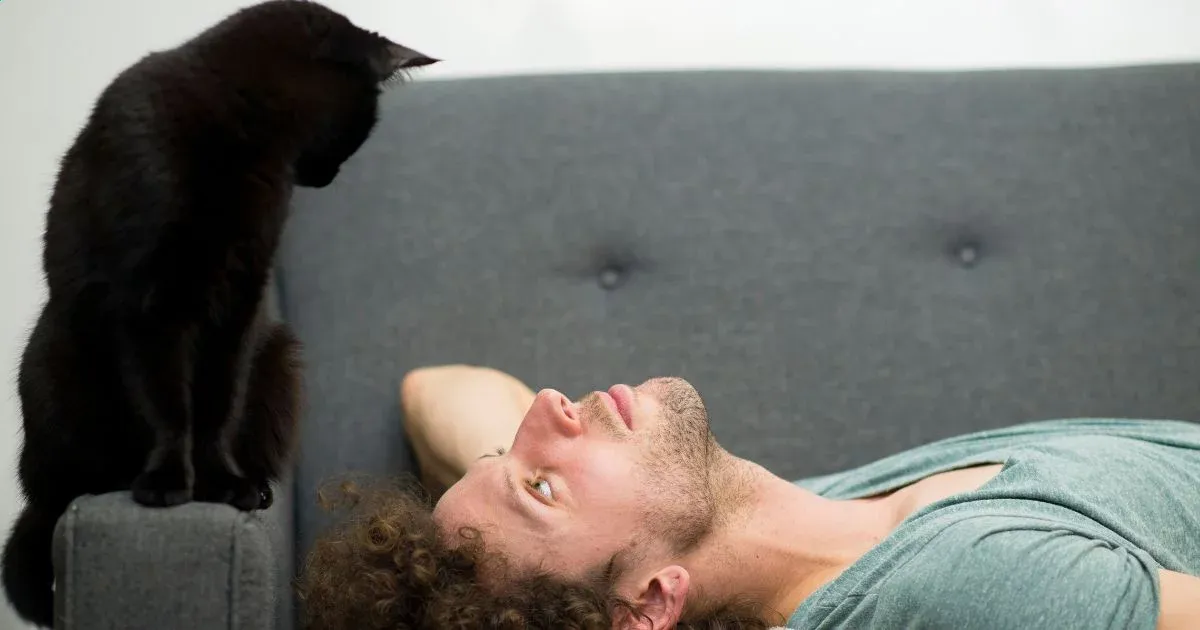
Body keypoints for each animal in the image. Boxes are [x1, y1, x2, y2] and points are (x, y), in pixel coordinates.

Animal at [1, 1, 436, 624]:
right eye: (360, 127)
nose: (330, 175)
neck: (242, 134)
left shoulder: (239, 304)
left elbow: (217, 403)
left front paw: (223, 483)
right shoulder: (151, 302)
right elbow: (167, 403)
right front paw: (167, 482)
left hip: (277, 359)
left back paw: (254, 485)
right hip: (53, 375)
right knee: (54, 497)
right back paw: (114, 483)